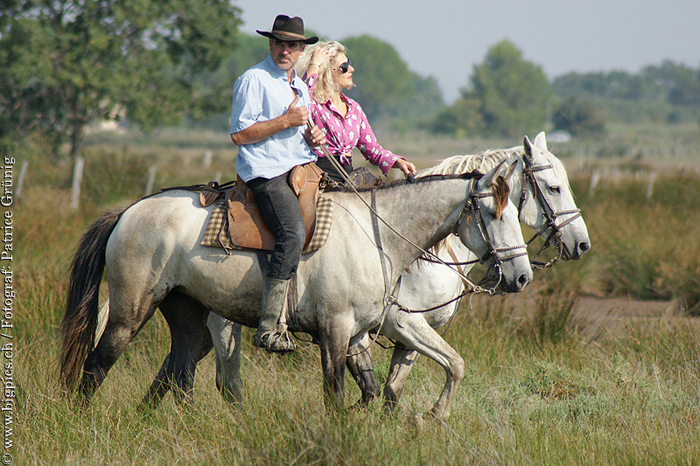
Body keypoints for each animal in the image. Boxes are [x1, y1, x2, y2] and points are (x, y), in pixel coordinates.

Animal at [61, 158, 532, 416]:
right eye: (493, 213)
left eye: (517, 210)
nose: (522, 276)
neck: (379, 234)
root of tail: (127, 212)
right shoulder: (338, 330)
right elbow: (337, 394)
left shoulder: (360, 333)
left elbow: (395, 382)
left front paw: (429, 415)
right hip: (130, 312)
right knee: (97, 365)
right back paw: (79, 423)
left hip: (187, 316)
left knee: (178, 374)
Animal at [142, 131, 592, 418]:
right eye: (553, 187)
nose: (582, 244)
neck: (421, 249)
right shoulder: (403, 324)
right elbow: (438, 369)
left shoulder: (403, 336)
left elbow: (390, 389)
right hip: (224, 323)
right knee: (223, 379)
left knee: (174, 370)